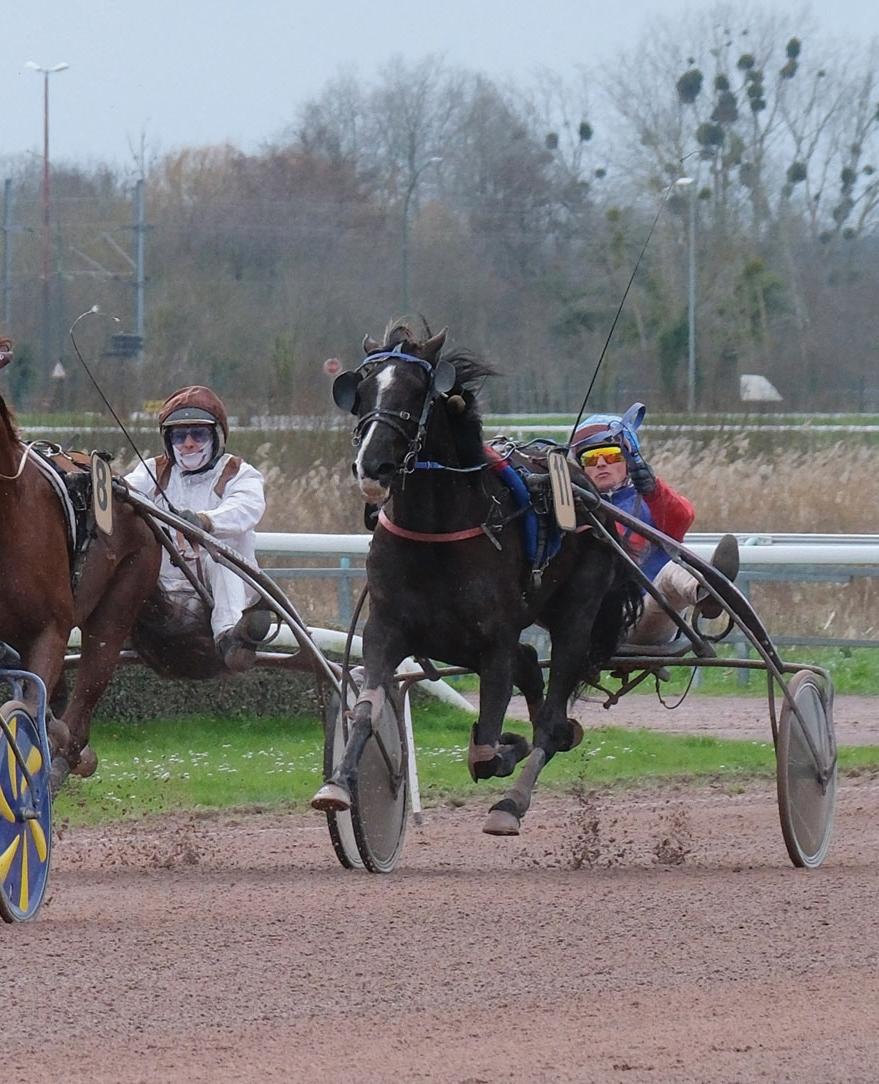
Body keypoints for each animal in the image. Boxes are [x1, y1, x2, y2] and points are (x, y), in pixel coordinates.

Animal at [312, 320, 640, 835]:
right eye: (359, 390)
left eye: (416, 390)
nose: (372, 466)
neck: (435, 531)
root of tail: (586, 489)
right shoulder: (386, 628)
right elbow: (366, 708)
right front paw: (338, 785)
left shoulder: (493, 640)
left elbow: (486, 749)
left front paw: (505, 751)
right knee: (531, 664)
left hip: (576, 611)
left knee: (550, 715)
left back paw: (513, 800)